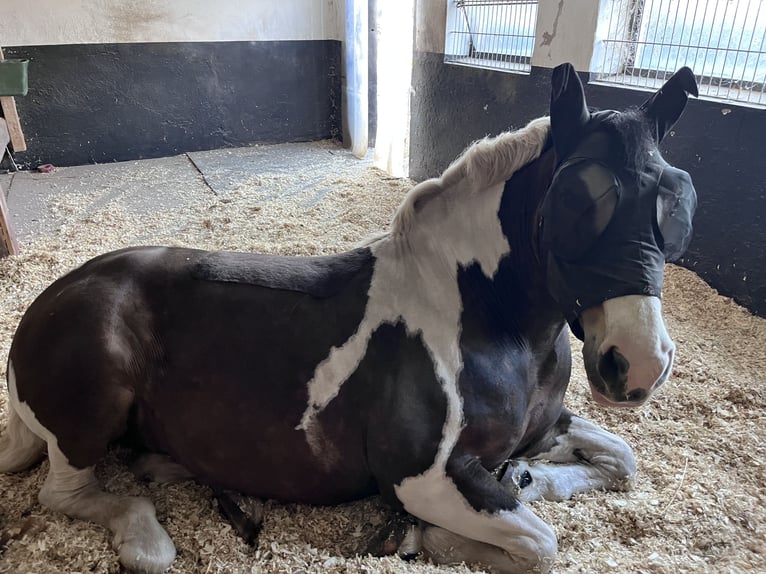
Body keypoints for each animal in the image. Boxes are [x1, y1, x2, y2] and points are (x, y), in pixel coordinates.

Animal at [0, 60, 704, 572]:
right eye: (578, 202)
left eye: (678, 198)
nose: (638, 364)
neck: (493, 324)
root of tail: (46, 303)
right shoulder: (423, 478)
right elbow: (537, 544)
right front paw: (415, 538)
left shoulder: (541, 429)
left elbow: (619, 461)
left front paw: (531, 479)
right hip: (87, 417)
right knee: (65, 493)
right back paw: (146, 539)